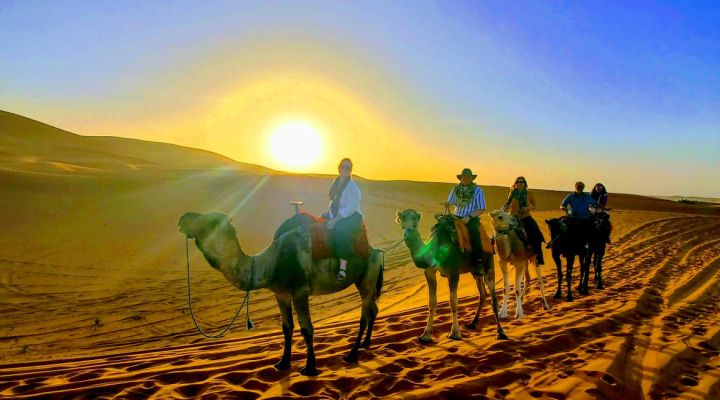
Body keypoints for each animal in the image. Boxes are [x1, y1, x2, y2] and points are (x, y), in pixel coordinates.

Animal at [178, 211, 386, 376]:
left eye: (212, 221)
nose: (183, 218)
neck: (270, 263)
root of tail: (377, 251)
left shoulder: (300, 292)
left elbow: (307, 329)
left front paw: (310, 368)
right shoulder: (281, 294)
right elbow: (287, 328)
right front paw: (283, 363)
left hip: (368, 279)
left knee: (364, 316)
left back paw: (352, 354)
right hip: (363, 281)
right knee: (373, 310)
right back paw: (366, 344)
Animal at [394, 208, 506, 342]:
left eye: (416, 219)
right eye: (402, 219)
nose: (409, 231)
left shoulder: (453, 273)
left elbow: (453, 303)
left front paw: (455, 333)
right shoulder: (429, 272)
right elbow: (432, 303)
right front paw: (426, 334)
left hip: (489, 263)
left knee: (493, 298)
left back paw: (500, 332)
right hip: (475, 272)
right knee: (483, 294)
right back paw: (473, 323)